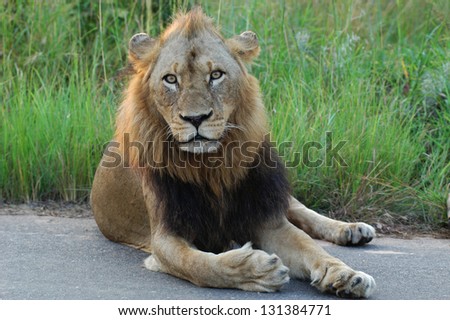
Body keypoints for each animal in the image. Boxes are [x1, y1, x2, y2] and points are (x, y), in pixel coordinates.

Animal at [90, 7, 376, 298]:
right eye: (171, 79)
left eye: (216, 75)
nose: (196, 118)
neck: (212, 164)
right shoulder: (164, 236)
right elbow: (200, 266)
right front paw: (257, 270)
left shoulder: (265, 216)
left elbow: (309, 246)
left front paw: (345, 274)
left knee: (301, 210)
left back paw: (351, 229)